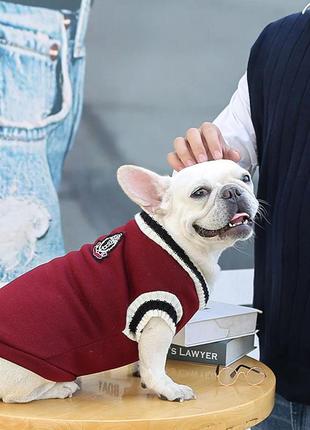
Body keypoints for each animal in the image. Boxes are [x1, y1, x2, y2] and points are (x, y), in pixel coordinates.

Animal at [0, 159, 260, 404]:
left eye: (246, 178)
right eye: (199, 192)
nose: (233, 191)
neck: (176, 241)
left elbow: (142, 356)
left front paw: (137, 370)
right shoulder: (158, 317)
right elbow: (155, 365)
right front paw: (168, 389)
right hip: (31, 373)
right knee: (16, 396)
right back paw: (62, 387)